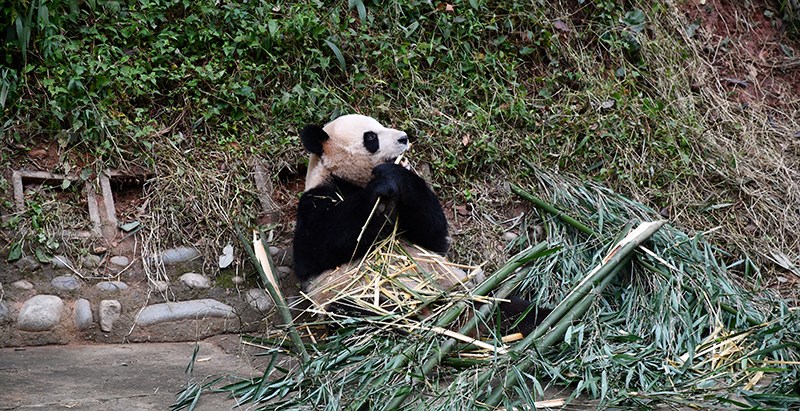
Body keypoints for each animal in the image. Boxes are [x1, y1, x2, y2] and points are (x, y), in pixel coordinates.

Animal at [294, 114, 552, 336]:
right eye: (371, 138)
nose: (404, 138)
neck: (345, 178)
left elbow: (434, 236)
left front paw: (394, 174)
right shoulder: (316, 200)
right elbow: (317, 247)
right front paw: (378, 193)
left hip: (469, 288)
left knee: (507, 305)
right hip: (350, 294)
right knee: (361, 309)